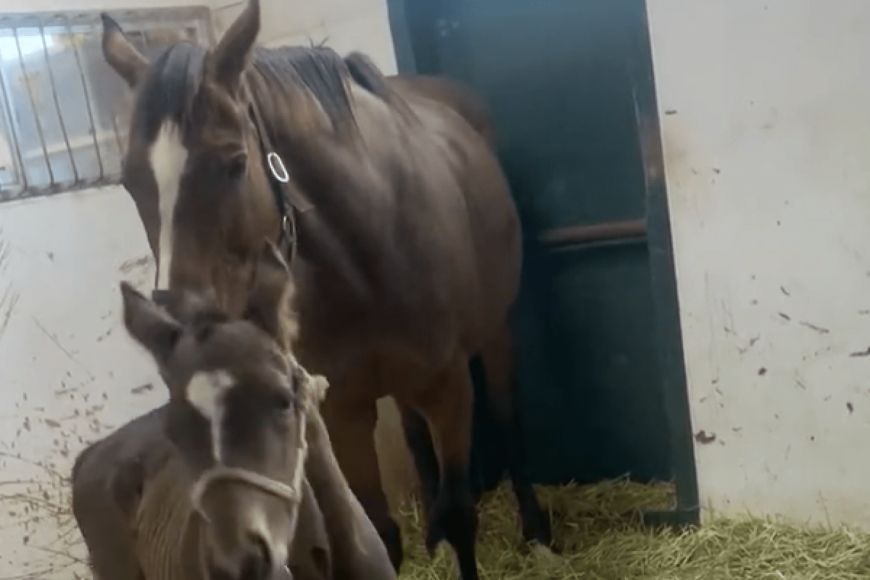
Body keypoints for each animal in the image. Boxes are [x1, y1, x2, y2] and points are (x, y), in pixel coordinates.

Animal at [100, 2, 552, 576]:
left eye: (234, 163)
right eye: (129, 180)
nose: (180, 328)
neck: (368, 250)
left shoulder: (448, 388)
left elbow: (459, 513)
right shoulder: (345, 411)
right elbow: (379, 528)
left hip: (495, 334)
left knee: (508, 420)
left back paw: (538, 532)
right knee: (412, 434)